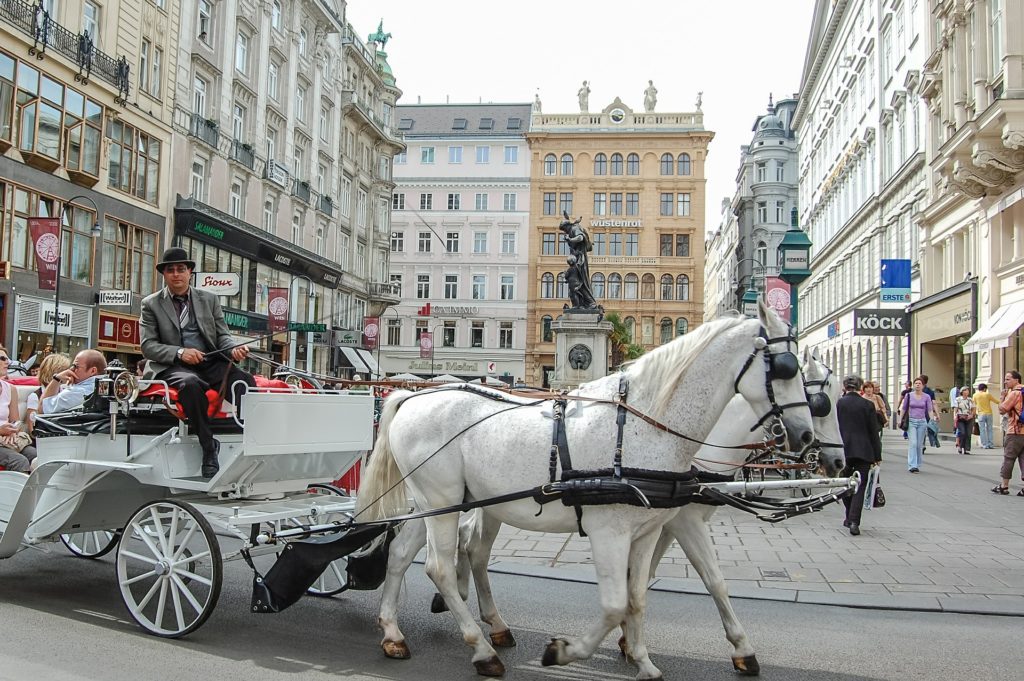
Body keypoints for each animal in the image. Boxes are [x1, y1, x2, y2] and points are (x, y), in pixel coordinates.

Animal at [356, 303, 811, 679]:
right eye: (786, 367)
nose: (805, 436)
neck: (644, 423)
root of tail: (412, 398)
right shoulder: (611, 532)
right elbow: (614, 604)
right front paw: (564, 651)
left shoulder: (646, 532)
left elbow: (637, 596)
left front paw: (643, 660)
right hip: (444, 504)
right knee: (440, 568)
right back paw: (483, 650)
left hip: (436, 505)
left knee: (403, 555)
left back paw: (393, 633)